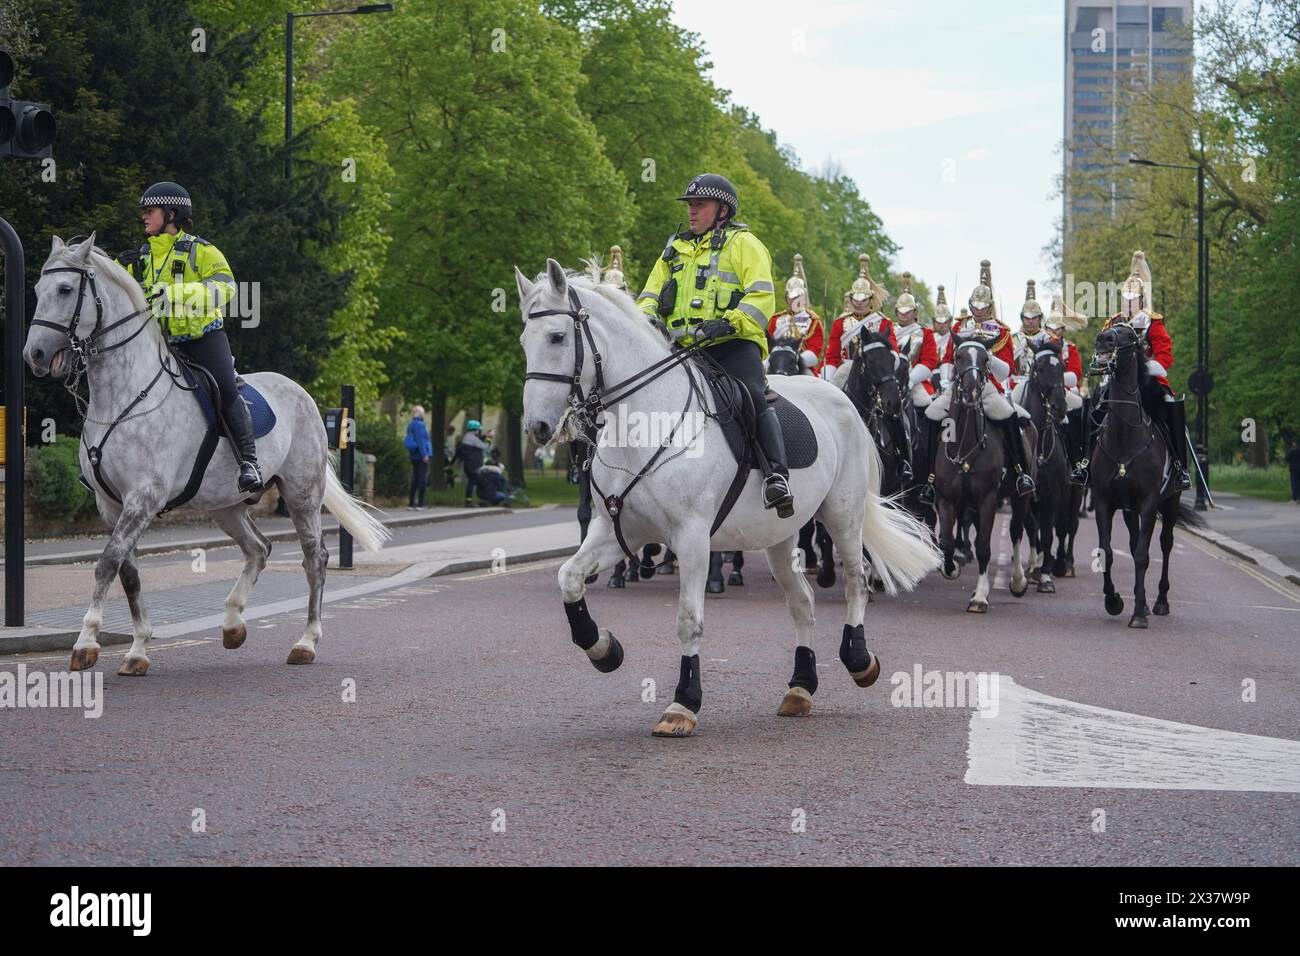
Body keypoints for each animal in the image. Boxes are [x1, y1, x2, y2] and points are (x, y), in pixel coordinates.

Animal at [22, 235, 387, 676]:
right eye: (37, 290)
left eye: (64, 289)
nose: (35, 354)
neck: (123, 397)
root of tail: (301, 392)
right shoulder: (111, 505)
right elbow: (129, 573)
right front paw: (138, 649)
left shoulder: (143, 498)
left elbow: (107, 563)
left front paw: (86, 642)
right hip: (226, 507)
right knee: (259, 549)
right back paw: (232, 625)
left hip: (302, 495)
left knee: (314, 559)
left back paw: (306, 642)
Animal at [514, 257, 935, 738]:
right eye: (524, 339)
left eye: (557, 337)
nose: (538, 427)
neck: (644, 423)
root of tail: (843, 399)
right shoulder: (618, 532)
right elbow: (568, 578)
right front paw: (604, 648)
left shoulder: (693, 537)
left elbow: (688, 620)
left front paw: (683, 703)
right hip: (780, 537)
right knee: (802, 602)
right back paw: (800, 687)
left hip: (843, 517)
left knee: (856, 582)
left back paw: (859, 659)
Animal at [1086, 325, 1196, 632]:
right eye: (1110, 327)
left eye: (1130, 336)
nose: (1103, 340)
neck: (1125, 436)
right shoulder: (1105, 502)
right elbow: (1107, 552)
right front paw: (1114, 601)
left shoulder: (1148, 502)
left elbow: (1143, 556)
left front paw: (1138, 614)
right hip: (1129, 509)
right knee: (1135, 540)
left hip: (1170, 502)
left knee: (1165, 544)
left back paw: (1159, 602)